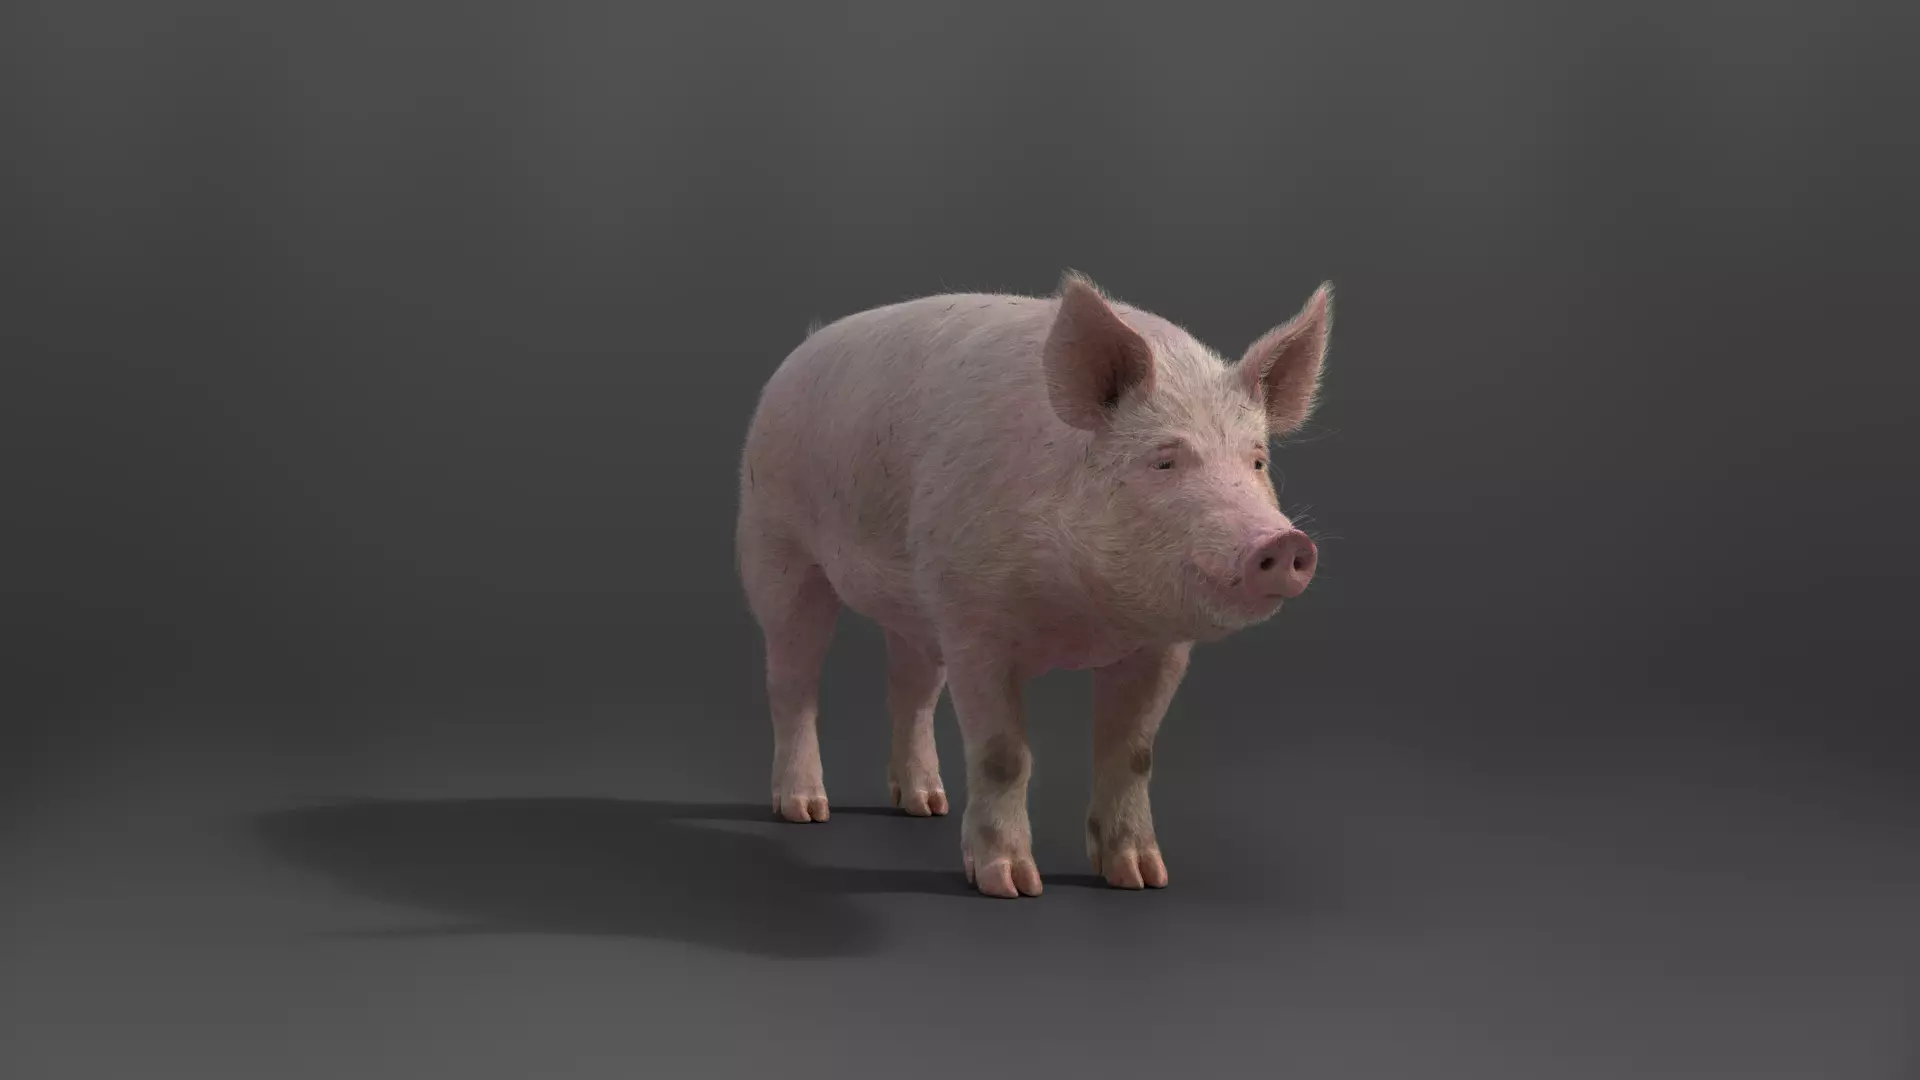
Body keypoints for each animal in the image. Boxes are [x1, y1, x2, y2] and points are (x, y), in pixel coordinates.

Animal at [735, 272, 1332, 899]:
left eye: (1257, 462)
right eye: (1165, 461)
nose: (1284, 542)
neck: (1087, 621)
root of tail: (804, 347)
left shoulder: (1162, 646)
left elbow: (1133, 753)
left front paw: (1142, 879)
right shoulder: (972, 618)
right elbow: (1003, 755)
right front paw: (1012, 885)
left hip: (915, 604)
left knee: (911, 690)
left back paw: (926, 805)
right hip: (773, 541)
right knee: (792, 680)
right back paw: (805, 809)